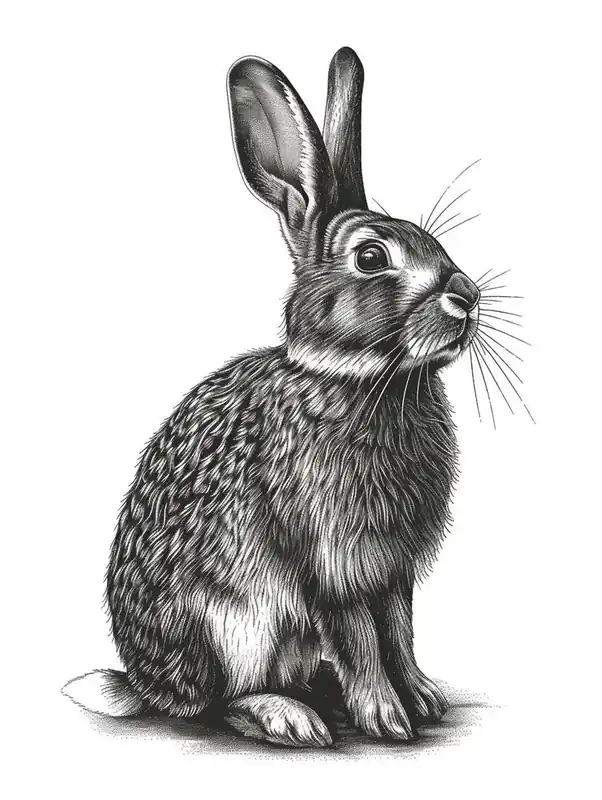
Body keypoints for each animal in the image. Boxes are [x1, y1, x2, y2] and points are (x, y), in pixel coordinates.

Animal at [63, 47, 481, 748]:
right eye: (372, 257)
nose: (467, 298)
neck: (361, 379)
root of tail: (147, 685)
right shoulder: (329, 563)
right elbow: (361, 639)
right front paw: (386, 717)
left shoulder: (391, 570)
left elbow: (399, 630)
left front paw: (423, 699)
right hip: (233, 626)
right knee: (217, 703)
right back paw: (289, 717)